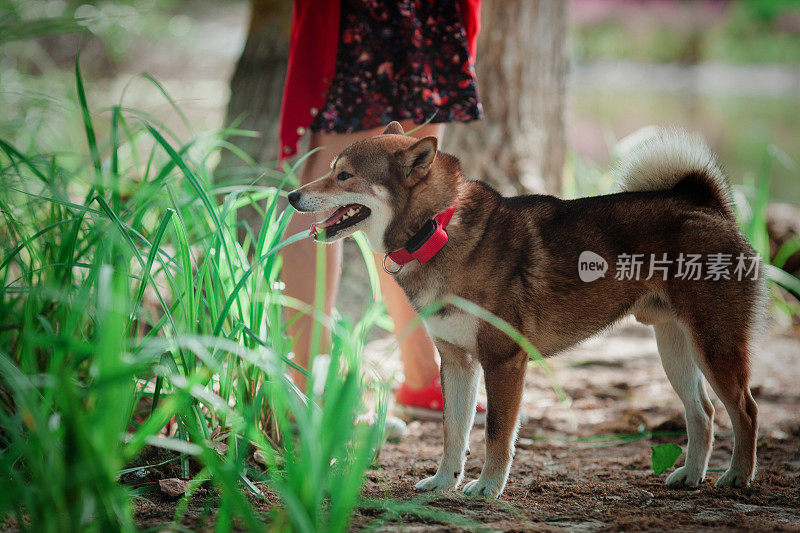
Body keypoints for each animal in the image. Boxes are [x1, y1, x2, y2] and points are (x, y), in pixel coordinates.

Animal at [290, 122, 768, 496]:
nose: (293, 194)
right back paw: (690, 474)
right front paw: (445, 482)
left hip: (714, 346)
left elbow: (496, 433)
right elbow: (452, 431)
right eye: (331, 171)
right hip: (676, 349)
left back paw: (737, 477)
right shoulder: (458, 362)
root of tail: (707, 205)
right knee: (703, 413)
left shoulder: (503, 360)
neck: (437, 229)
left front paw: (487, 487)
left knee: (745, 410)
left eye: (344, 176)